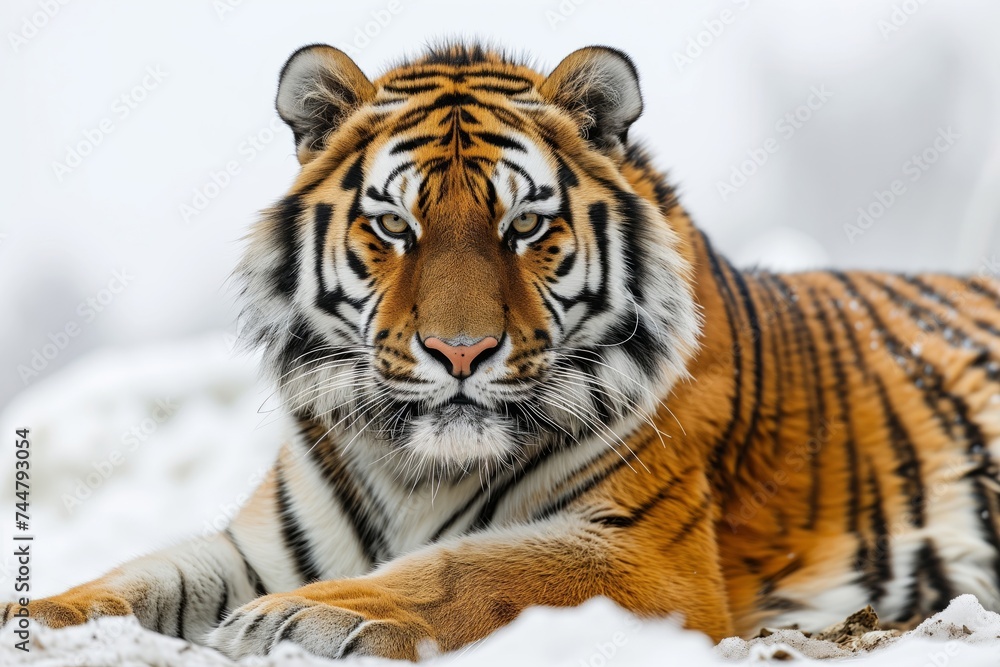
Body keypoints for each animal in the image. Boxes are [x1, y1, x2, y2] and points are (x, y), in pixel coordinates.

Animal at [6, 41, 1000, 661]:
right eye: (394, 226)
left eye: (524, 226)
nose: (461, 351)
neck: (417, 469)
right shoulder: (260, 543)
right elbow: (135, 576)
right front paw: (34, 613)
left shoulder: (645, 553)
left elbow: (471, 565)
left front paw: (309, 615)